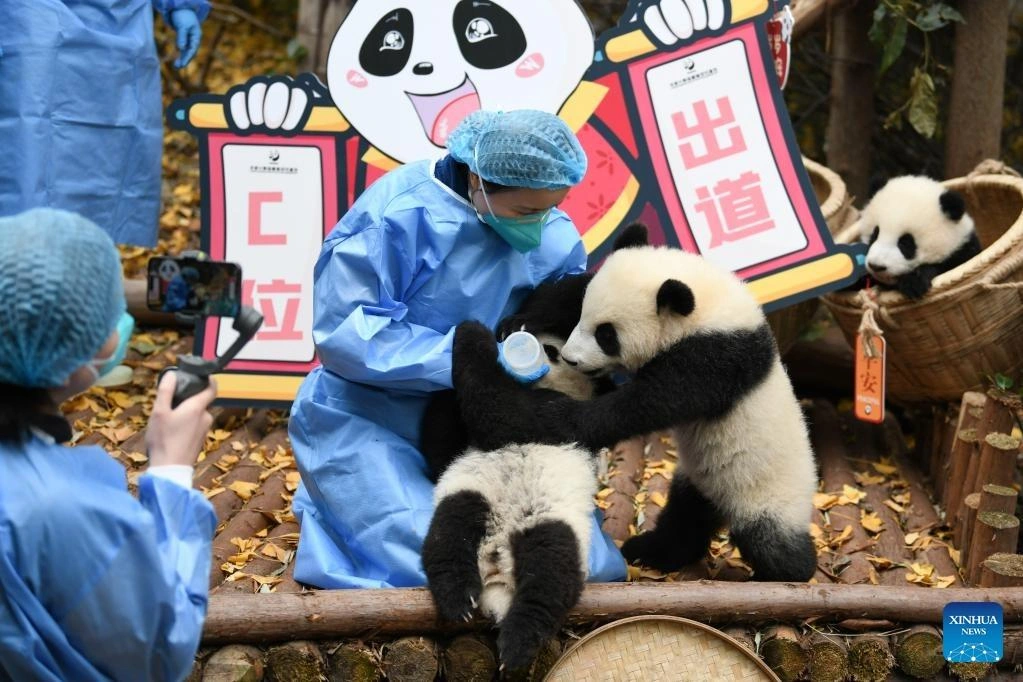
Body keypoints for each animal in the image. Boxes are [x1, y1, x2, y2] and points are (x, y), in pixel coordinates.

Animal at [449, 227, 819, 582]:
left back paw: (790, 572)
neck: (706, 309)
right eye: (582, 316)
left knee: (771, 541)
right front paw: (523, 320)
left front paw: (555, 411)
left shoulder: (715, 358)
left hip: (766, 491)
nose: (570, 358)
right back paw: (650, 550)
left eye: (606, 335)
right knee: (686, 517)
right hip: (700, 478)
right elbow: (573, 283)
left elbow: (643, 403)